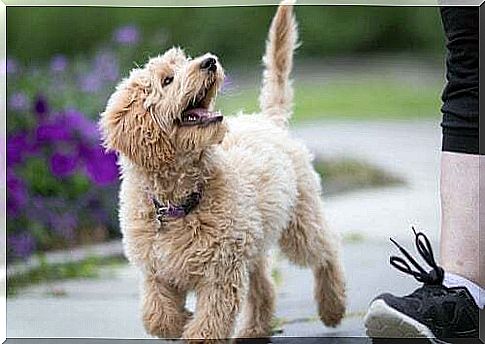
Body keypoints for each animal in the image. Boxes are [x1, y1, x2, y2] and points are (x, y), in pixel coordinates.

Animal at [98, 0, 344, 342]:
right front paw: (181, 320)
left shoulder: (220, 272)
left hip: (299, 223)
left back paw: (333, 307)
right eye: (167, 80)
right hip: (253, 241)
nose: (210, 62)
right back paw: (255, 329)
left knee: (327, 249)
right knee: (264, 285)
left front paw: (193, 326)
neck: (178, 201)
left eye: (185, 61)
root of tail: (269, 120)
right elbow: (156, 316)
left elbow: (209, 323)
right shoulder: (155, 271)